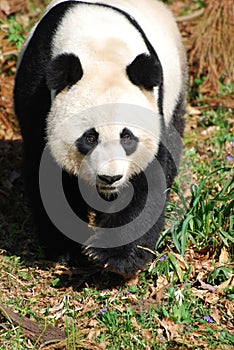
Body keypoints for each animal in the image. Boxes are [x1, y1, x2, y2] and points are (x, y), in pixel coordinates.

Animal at [14, 0, 186, 278]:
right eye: (90, 138)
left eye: (127, 137)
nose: (110, 178)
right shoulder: (36, 94)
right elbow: (47, 174)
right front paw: (67, 248)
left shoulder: (153, 105)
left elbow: (151, 176)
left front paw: (113, 256)